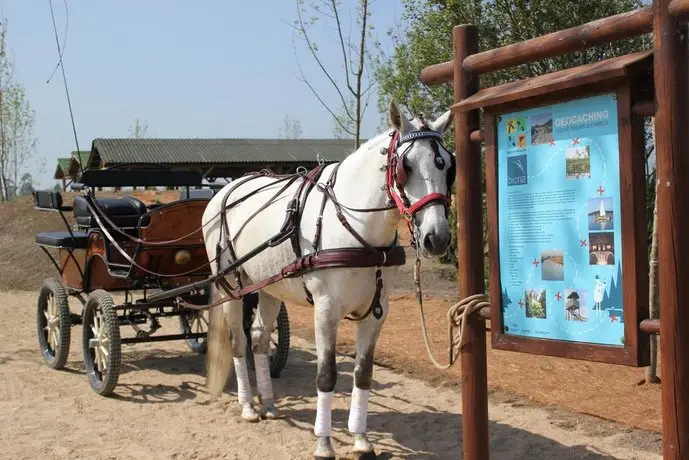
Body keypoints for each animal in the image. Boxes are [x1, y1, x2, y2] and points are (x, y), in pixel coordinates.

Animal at [202, 101, 454, 460]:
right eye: (406, 166)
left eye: (448, 166)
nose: (437, 238)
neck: (357, 227)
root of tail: (223, 191)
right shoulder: (325, 310)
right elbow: (326, 376)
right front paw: (324, 443)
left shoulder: (377, 311)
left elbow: (363, 374)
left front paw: (361, 439)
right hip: (233, 286)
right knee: (239, 341)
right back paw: (248, 406)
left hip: (268, 285)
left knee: (259, 338)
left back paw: (269, 404)